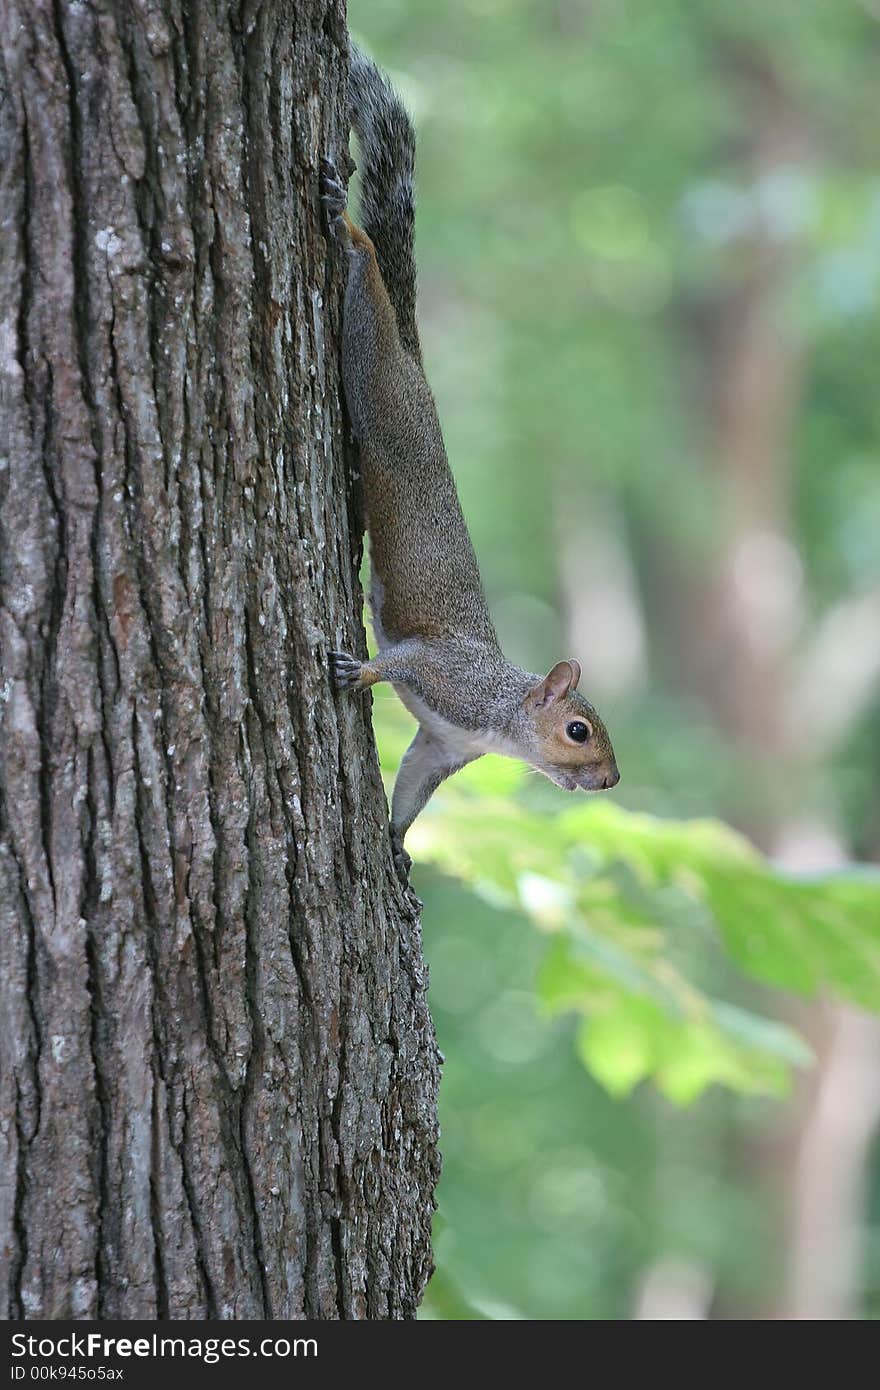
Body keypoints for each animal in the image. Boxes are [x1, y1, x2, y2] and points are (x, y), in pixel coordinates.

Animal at [322, 46, 617, 878]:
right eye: (579, 730)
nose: (612, 780)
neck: (500, 718)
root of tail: (418, 367)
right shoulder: (446, 677)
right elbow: (399, 660)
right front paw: (359, 672)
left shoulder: (441, 745)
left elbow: (413, 788)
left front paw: (395, 844)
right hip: (384, 391)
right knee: (370, 306)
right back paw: (351, 235)